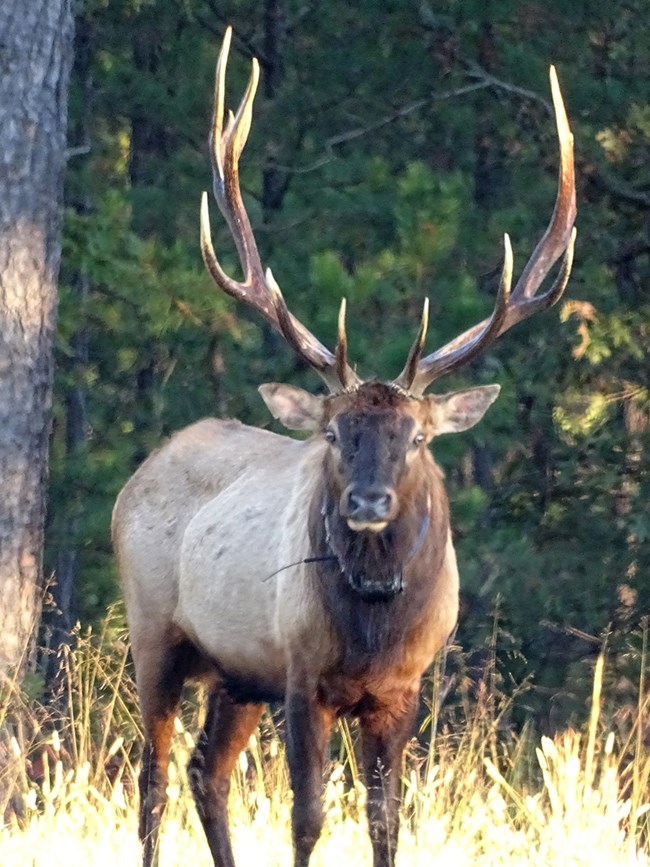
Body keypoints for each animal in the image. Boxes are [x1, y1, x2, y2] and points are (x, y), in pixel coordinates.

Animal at [114, 25, 576, 867]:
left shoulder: (402, 690)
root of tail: (146, 466)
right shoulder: (302, 674)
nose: (366, 500)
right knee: (153, 778)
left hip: (235, 672)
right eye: (333, 432)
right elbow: (307, 816)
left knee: (205, 770)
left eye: (417, 436)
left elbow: (386, 819)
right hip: (155, 630)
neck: (372, 634)